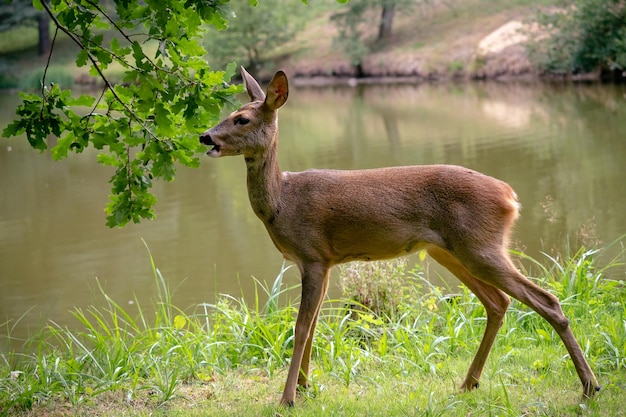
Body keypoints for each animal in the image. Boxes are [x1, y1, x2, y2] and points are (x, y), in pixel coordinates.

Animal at [200, 68, 600, 406]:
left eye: (241, 118)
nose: (206, 136)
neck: (282, 201)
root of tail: (510, 196)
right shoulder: (321, 262)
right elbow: (313, 327)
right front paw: (304, 386)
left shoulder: (313, 255)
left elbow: (300, 328)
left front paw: (287, 398)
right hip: (451, 251)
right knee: (498, 303)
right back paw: (469, 383)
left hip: (479, 246)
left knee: (546, 300)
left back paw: (588, 386)